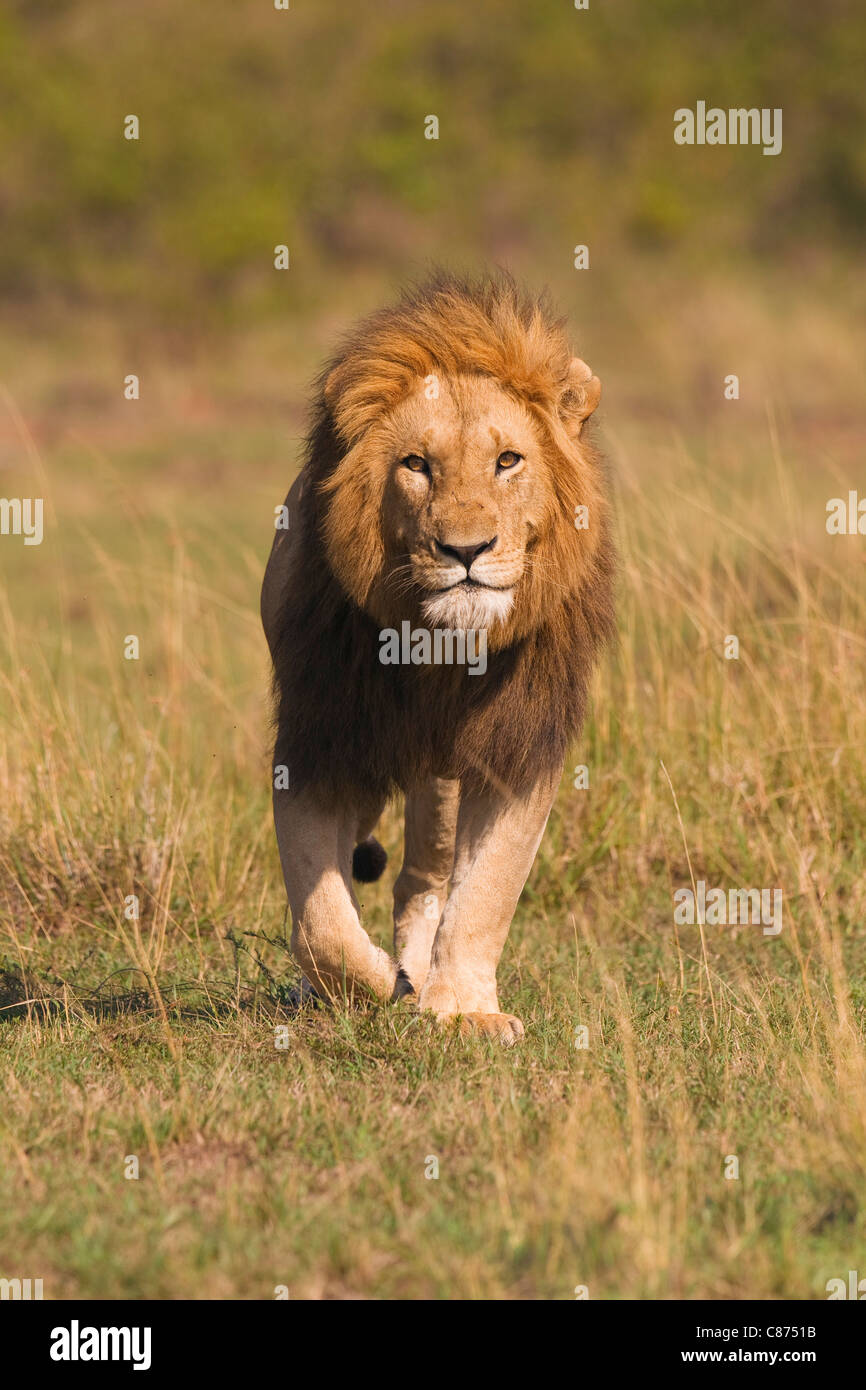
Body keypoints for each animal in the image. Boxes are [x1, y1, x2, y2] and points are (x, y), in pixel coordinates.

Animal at [261, 272, 615, 1043]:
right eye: (416, 465)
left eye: (508, 460)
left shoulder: (514, 747)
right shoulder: (319, 736)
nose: (466, 550)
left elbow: (486, 893)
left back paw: (422, 974)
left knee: (423, 878)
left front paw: (460, 1010)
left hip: (444, 777)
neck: (442, 652)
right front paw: (364, 983)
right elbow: (318, 921)